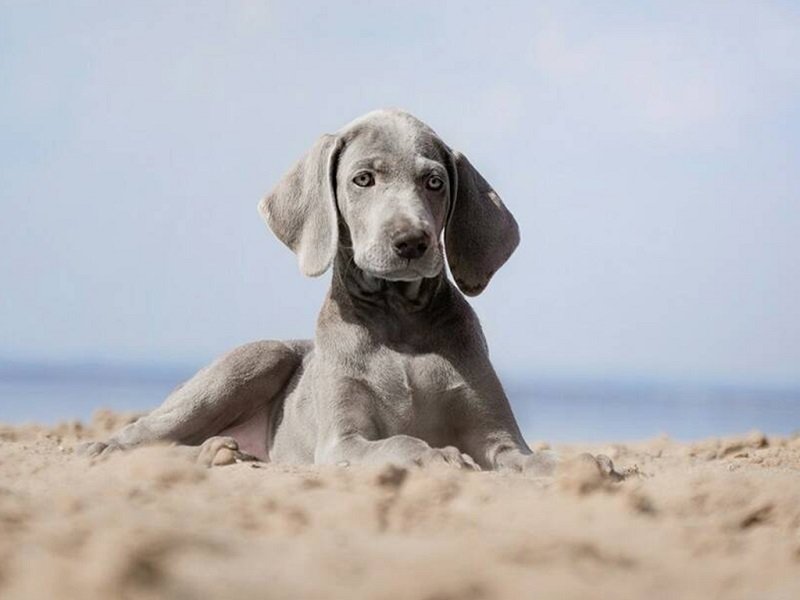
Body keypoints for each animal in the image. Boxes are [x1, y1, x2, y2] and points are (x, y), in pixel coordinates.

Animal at [83, 106, 620, 474]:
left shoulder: (497, 435)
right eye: (363, 179)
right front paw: (437, 455)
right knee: (152, 429)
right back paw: (109, 447)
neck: (398, 315)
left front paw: (580, 462)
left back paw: (221, 453)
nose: (412, 241)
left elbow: (529, 457)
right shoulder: (343, 440)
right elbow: (398, 443)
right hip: (255, 358)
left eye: (435, 182)